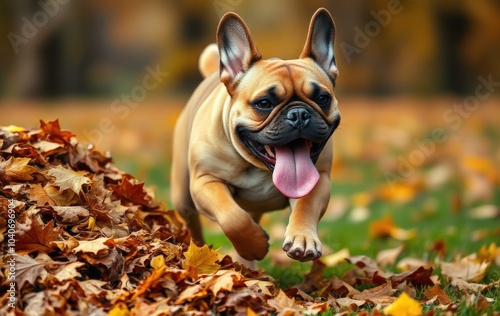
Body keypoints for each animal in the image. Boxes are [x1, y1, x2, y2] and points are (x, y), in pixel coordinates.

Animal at [171, 8, 340, 264]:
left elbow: (305, 206)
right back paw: (198, 251)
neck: (258, 167)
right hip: (183, 197)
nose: (299, 114)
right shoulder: (205, 181)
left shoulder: (319, 180)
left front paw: (302, 238)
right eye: (264, 103)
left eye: (322, 98)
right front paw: (255, 246)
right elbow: (232, 217)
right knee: (195, 224)